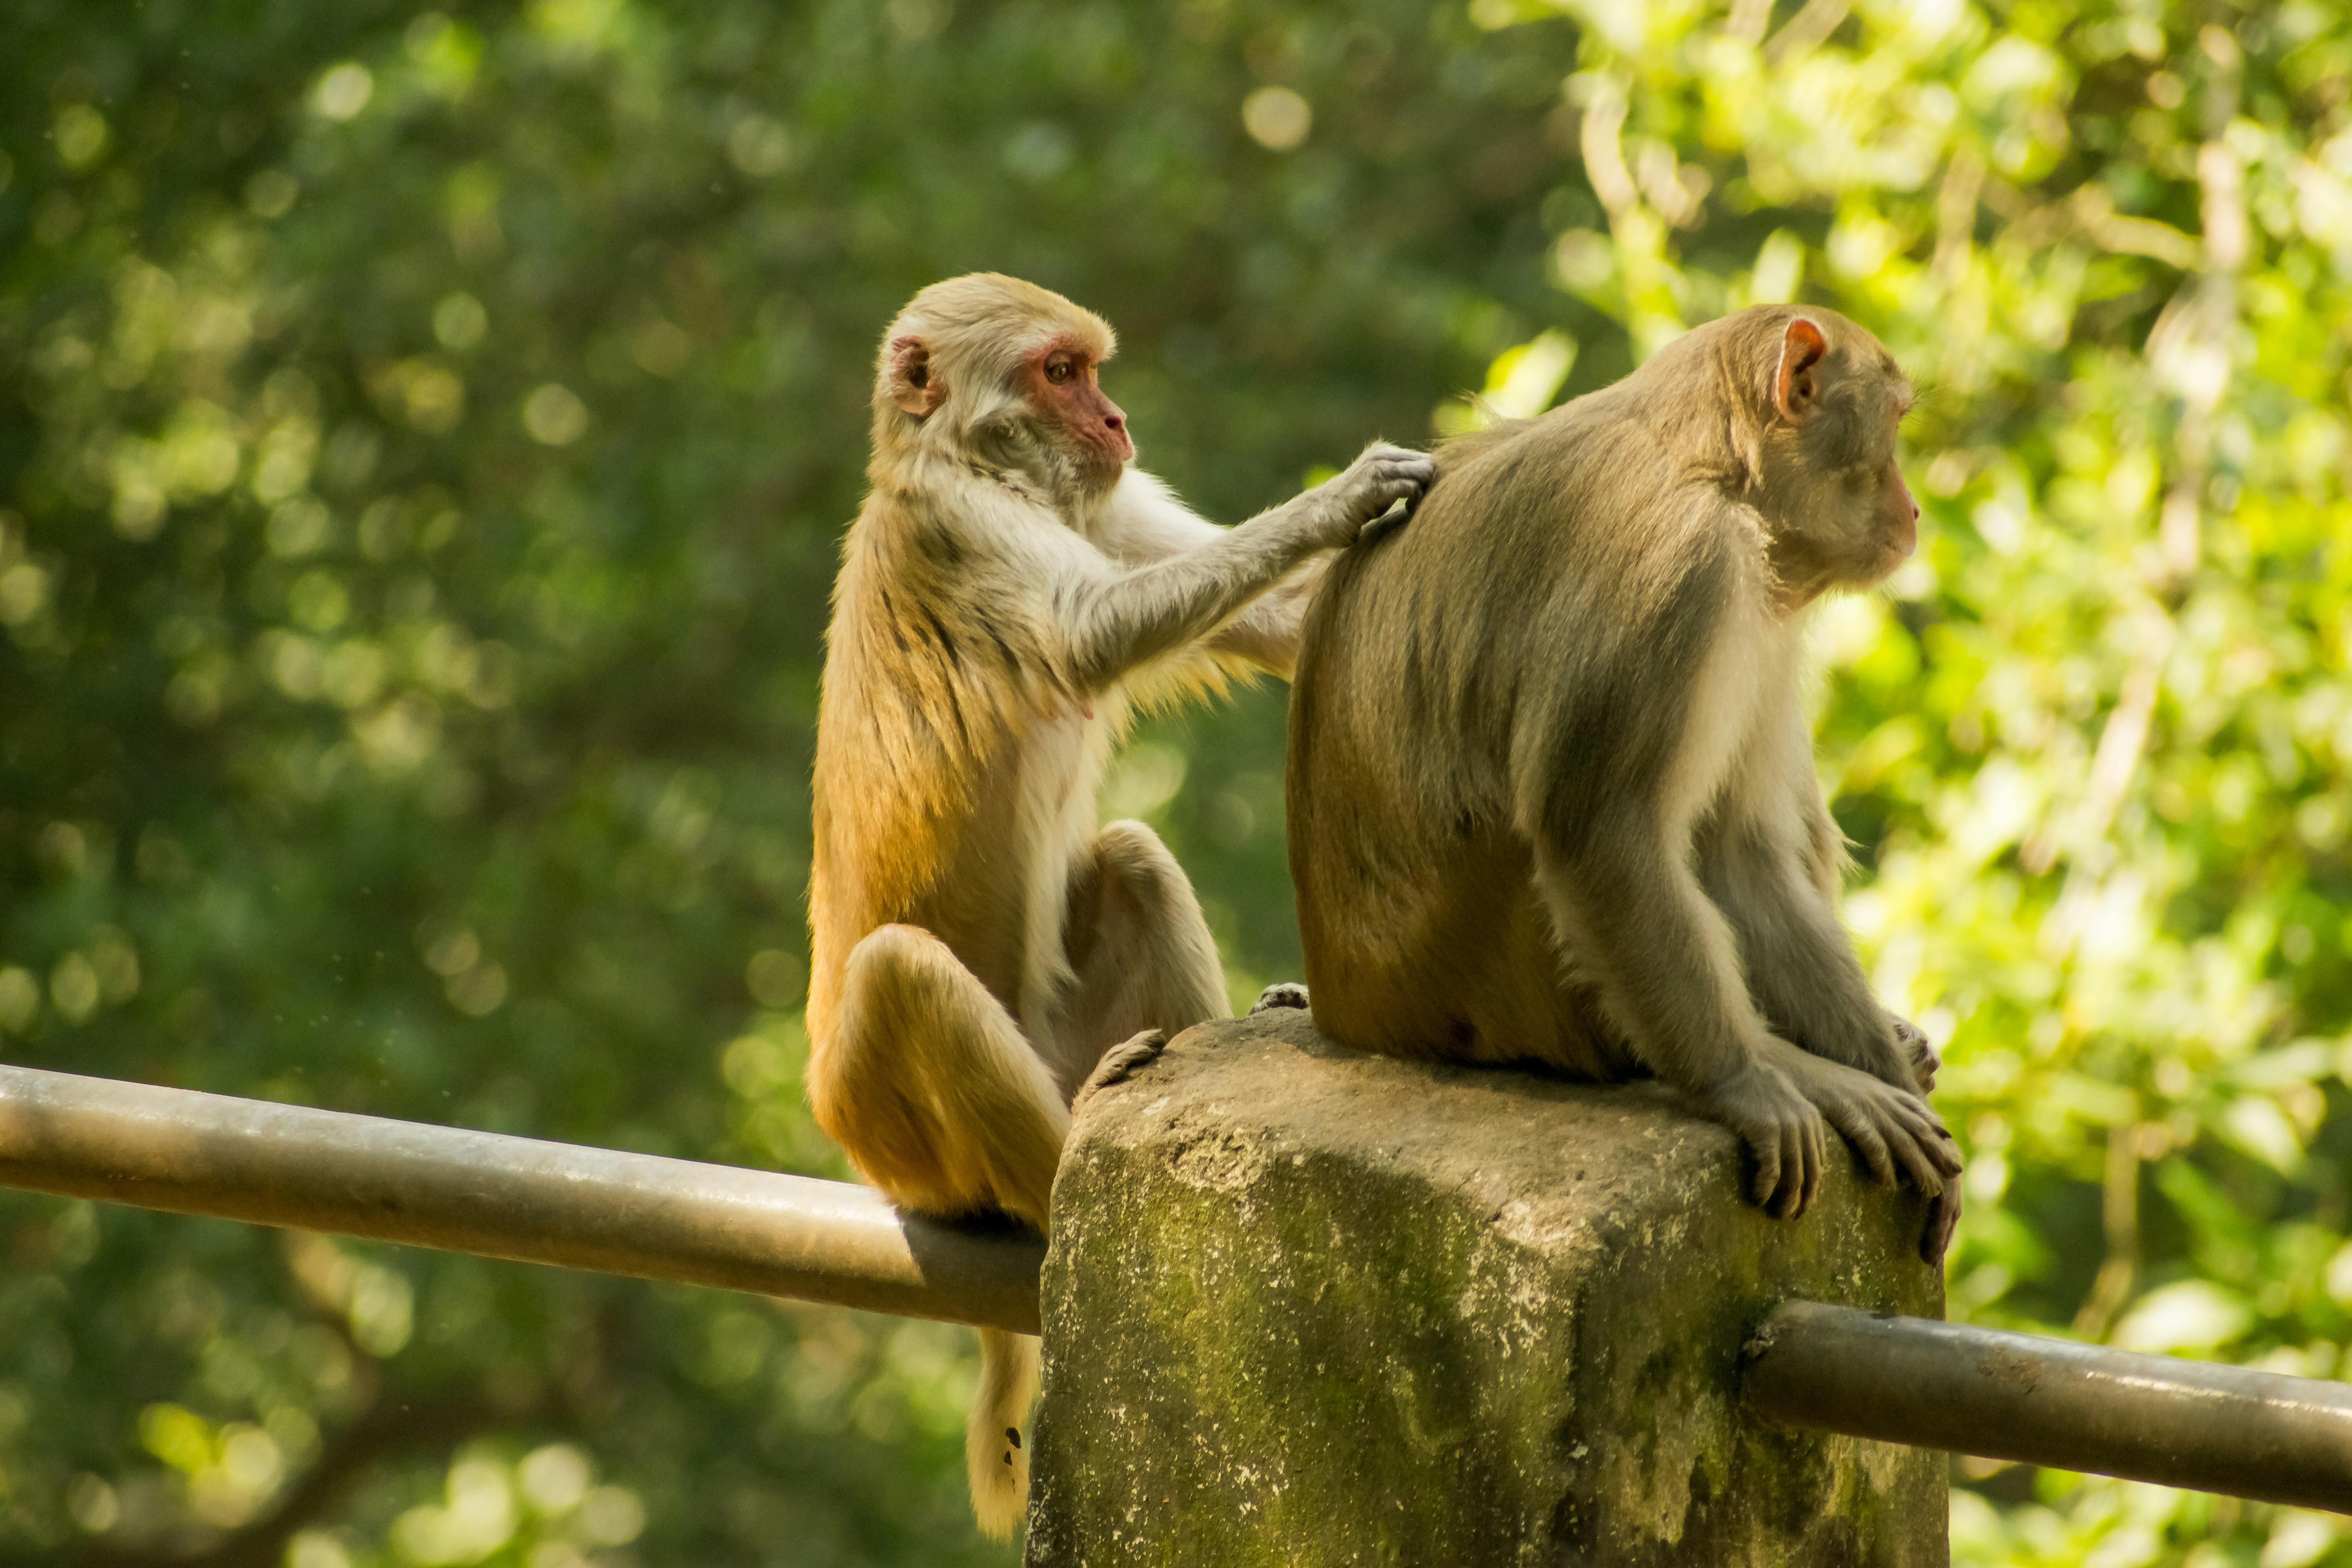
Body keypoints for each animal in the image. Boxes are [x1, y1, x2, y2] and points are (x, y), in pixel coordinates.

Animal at [809, 276, 1430, 1542]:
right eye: (1059, 373)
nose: (1115, 419)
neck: (976, 465)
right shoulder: (961, 526)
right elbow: (1092, 633)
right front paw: (1348, 492)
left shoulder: (1103, 501)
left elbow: (1277, 618)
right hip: (894, 1140)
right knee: (902, 968)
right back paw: (1074, 1182)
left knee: (1130, 858)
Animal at [1289, 303, 1966, 1260]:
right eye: (1896, 422)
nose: (1911, 508)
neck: (1714, 467)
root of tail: (1349, 1015)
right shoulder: (1683, 572)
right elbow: (1602, 831)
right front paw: (1744, 1081)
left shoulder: (1757, 613)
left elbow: (1737, 857)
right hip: (1501, 1001)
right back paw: (1782, 1066)